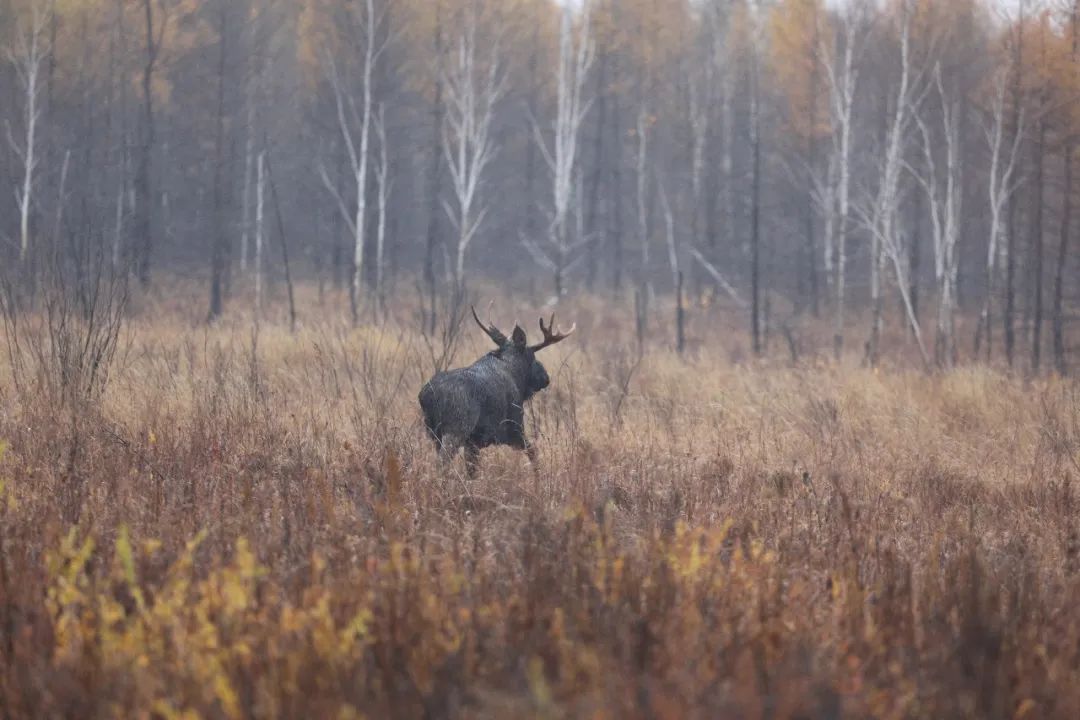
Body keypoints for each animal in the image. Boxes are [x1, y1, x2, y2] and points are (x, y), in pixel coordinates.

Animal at [419, 306, 578, 474]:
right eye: (532, 357)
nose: (546, 377)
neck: (516, 377)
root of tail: (426, 396)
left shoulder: (473, 442)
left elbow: (472, 471)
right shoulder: (513, 427)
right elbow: (533, 452)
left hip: (434, 433)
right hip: (456, 429)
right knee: (441, 465)